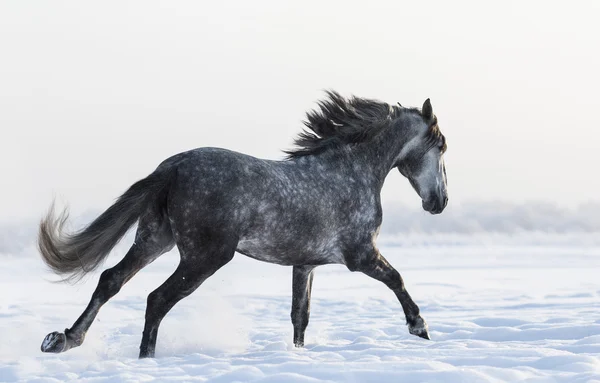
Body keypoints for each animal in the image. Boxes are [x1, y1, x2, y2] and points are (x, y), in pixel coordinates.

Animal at [38, 91, 446, 358]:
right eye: (441, 147)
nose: (439, 202)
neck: (352, 171)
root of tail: (173, 167)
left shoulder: (305, 264)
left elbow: (300, 316)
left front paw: (298, 355)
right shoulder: (359, 255)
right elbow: (396, 279)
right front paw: (420, 327)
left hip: (155, 239)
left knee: (111, 280)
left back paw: (63, 339)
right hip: (205, 256)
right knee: (157, 299)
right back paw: (145, 358)